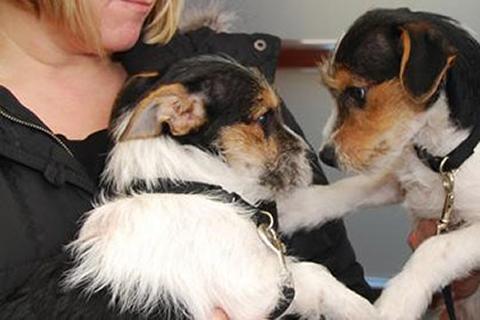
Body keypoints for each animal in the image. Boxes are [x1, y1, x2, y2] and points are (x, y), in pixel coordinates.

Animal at [0, 55, 378, 320]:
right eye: (263, 118)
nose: (314, 157)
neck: (192, 185)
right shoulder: (252, 288)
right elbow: (314, 273)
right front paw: (367, 309)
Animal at [278, 7, 480, 320]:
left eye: (357, 92)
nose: (325, 155)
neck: (440, 161)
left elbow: (436, 248)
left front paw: (396, 303)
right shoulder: (398, 179)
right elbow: (345, 190)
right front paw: (286, 209)